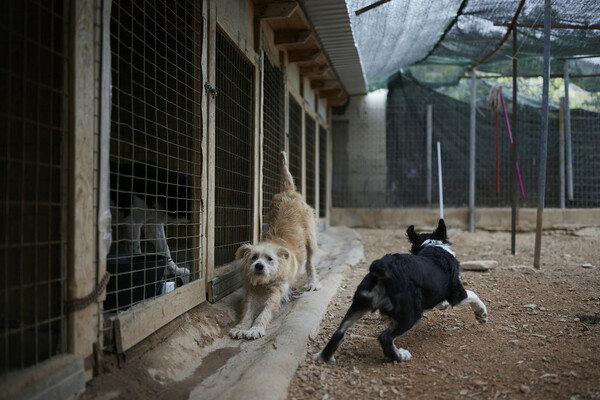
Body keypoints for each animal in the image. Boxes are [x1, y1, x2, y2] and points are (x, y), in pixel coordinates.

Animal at [230, 152, 322, 340]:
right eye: (253, 258)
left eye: (269, 259)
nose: (258, 266)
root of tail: (289, 191)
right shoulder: (251, 290)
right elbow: (247, 310)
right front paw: (241, 327)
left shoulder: (276, 291)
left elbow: (266, 311)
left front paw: (256, 328)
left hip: (311, 240)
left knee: (310, 263)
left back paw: (312, 282)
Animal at [314, 219, 488, 362]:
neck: (433, 246)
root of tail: (383, 268)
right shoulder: (457, 293)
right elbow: (473, 295)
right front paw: (481, 315)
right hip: (410, 314)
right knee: (385, 337)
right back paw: (400, 356)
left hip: (359, 304)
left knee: (339, 332)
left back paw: (323, 357)